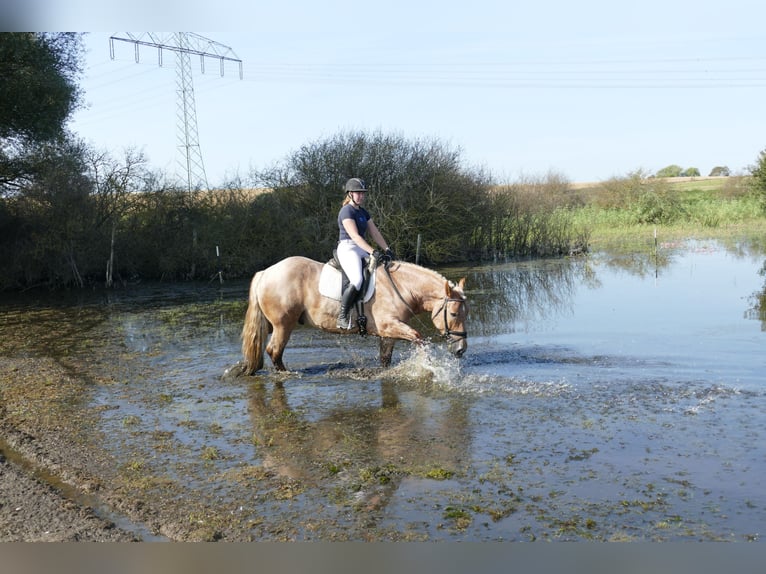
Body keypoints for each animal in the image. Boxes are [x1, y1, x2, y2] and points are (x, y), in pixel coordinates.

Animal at [240, 258, 468, 376]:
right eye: (454, 313)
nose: (460, 350)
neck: (401, 287)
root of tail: (266, 272)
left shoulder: (389, 333)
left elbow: (385, 358)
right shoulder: (389, 326)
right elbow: (418, 337)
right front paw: (428, 367)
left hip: (272, 325)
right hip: (283, 325)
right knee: (274, 351)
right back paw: (285, 374)